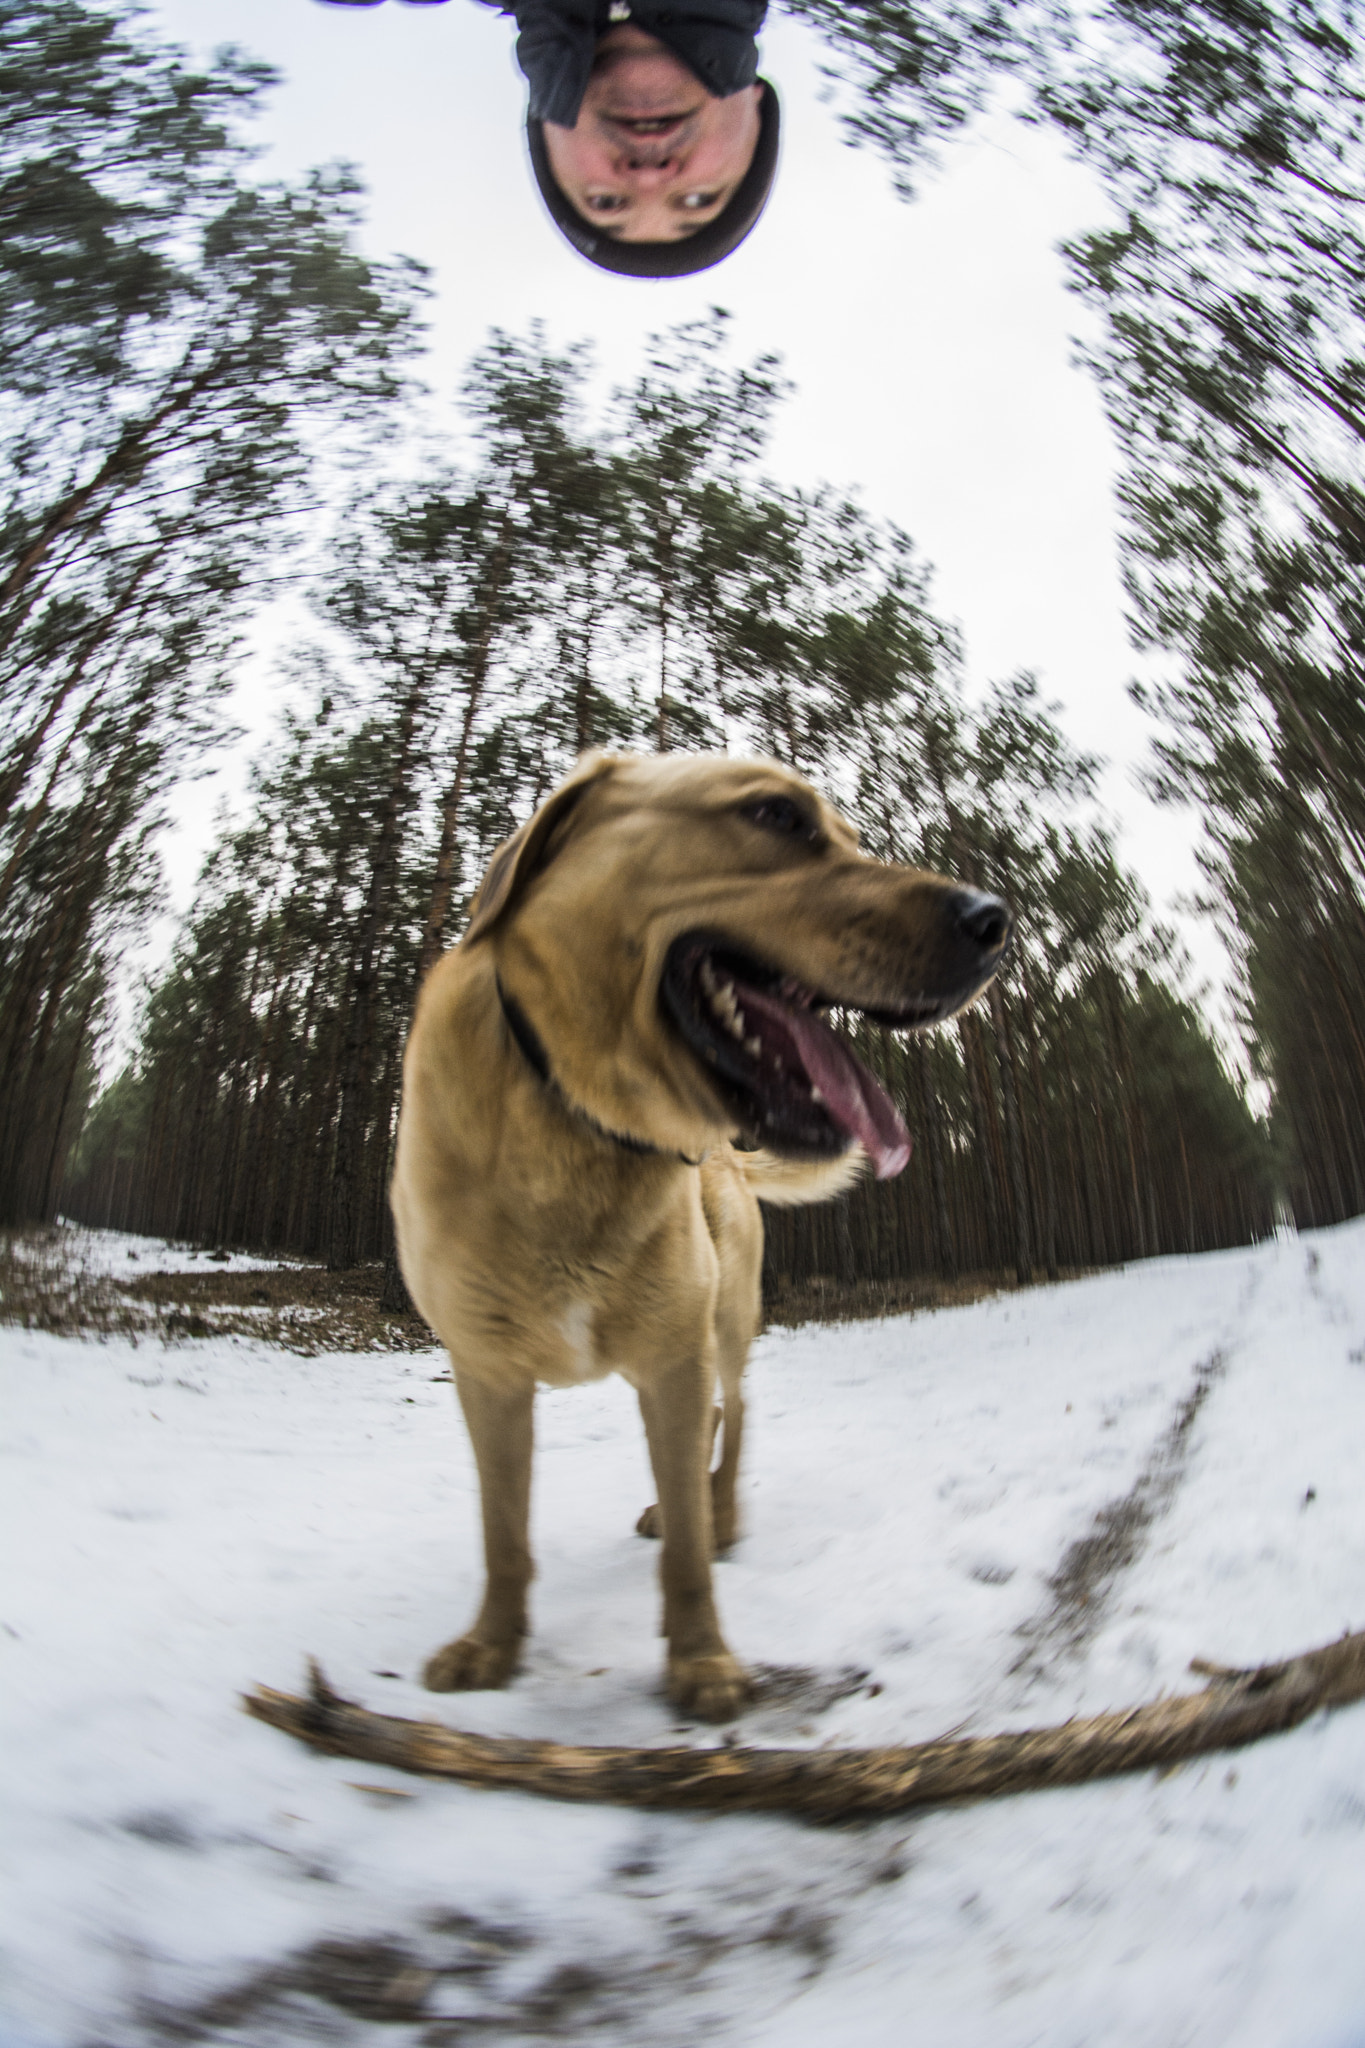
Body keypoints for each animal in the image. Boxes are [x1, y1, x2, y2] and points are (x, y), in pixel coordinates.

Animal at [388, 749, 1010, 1712]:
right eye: (777, 817)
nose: (996, 919)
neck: (576, 1116)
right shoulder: (487, 1375)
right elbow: (503, 1531)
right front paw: (492, 1643)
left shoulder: (674, 1357)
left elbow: (684, 1542)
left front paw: (702, 1658)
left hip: (725, 1319)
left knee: (735, 1413)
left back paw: (723, 1518)